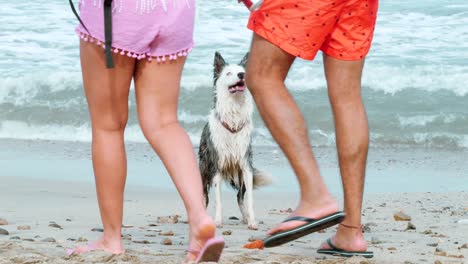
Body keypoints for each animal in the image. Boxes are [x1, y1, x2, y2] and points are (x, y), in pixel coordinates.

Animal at [198, 51, 270, 229]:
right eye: (228, 73)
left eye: (242, 71)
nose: (241, 75)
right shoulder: (215, 166)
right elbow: (217, 200)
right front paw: (217, 221)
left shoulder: (246, 166)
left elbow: (249, 199)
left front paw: (252, 221)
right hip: (203, 168)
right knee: (204, 195)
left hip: (239, 176)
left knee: (239, 196)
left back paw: (245, 217)